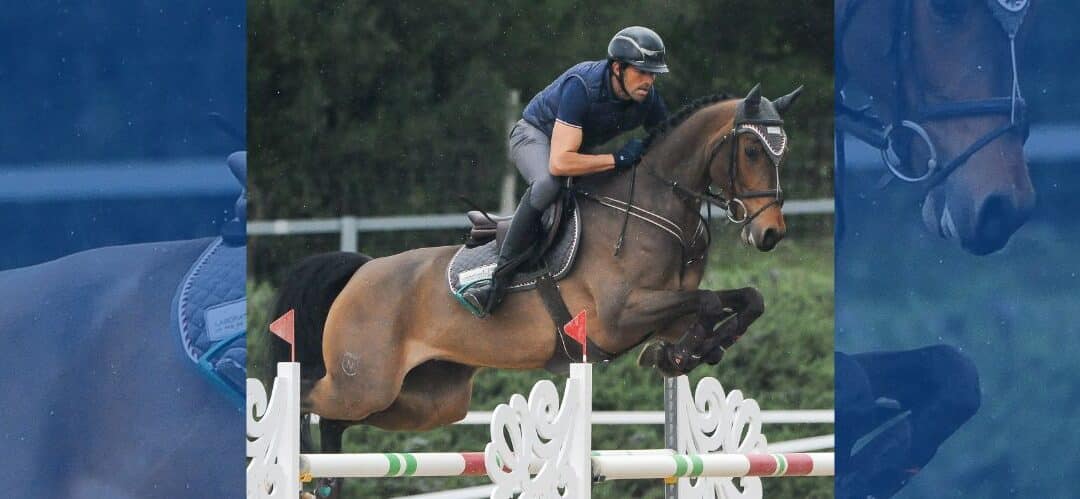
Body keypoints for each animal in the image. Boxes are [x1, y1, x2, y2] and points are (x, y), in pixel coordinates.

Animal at [266, 84, 807, 494]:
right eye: (753, 150)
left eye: (784, 153)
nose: (769, 233)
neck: (652, 207)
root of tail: (360, 271)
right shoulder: (620, 316)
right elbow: (711, 301)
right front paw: (681, 354)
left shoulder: (667, 312)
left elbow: (744, 300)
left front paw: (686, 353)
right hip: (364, 381)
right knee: (307, 398)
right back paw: (301, 468)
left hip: (425, 399)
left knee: (337, 419)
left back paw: (328, 480)